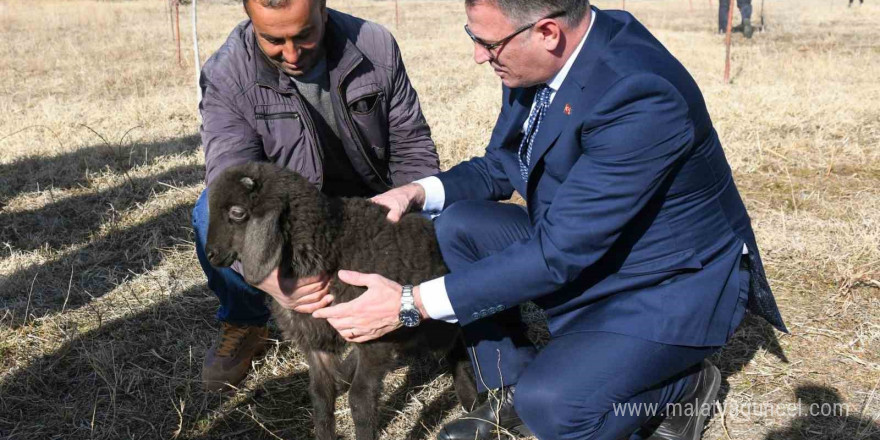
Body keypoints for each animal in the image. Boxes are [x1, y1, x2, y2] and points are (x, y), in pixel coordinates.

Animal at [203, 162, 478, 440]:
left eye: (237, 212)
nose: (211, 255)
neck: (330, 245)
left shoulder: (376, 336)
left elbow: (360, 398)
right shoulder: (317, 341)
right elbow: (320, 396)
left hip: (432, 327)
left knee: (456, 342)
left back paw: (470, 399)